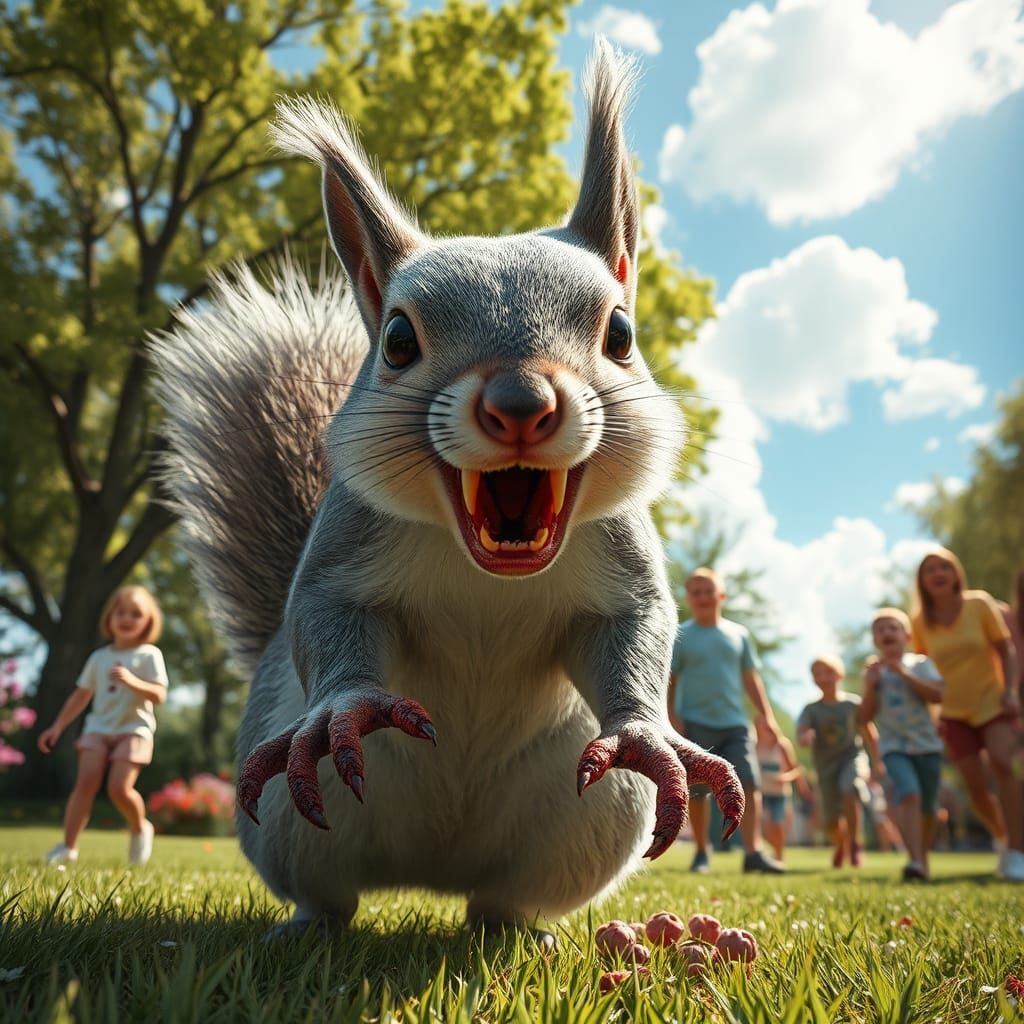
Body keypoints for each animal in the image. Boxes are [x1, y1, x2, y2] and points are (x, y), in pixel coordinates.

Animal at [153, 41, 744, 940]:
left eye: (621, 333)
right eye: (398, 339)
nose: (520, 403)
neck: (490, 571)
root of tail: (432, 869)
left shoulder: (620, 553)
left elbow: (635, 629)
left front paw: (648, 733)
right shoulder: (346, 542)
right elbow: (325, 615)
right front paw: (345, 706)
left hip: (589, 822)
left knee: (504, 896)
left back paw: (520, 930)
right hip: (289, 820)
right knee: (328, 889)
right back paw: (309, 925)